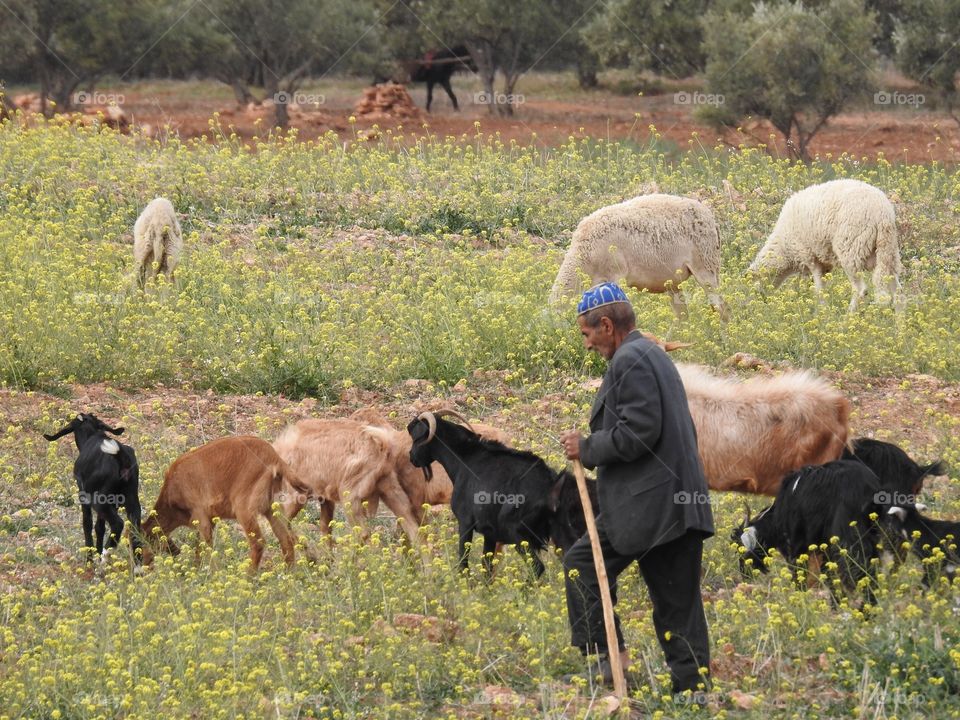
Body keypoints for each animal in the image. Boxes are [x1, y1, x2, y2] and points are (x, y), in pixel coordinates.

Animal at [44, 410, 142, 564]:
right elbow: (99, 527)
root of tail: (122, 460)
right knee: (135, 525)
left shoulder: (82, 493)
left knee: (118, 523)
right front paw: (96, 552)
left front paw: (90, 558)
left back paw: (105, 556)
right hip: (130, 495)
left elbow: (87, 524)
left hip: (100, 500)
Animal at [142, 436, 308, 572]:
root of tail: (274, 457)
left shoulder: (201, 516)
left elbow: (207, 548)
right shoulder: (209, 519)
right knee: (286, 539)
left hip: (244, 510)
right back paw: (289, 575)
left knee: (258, 543)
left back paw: (248, 577)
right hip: (273, 508)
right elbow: (199, 548)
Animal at [404, 414, 588, 576]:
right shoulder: (490, 533)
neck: (464, 459)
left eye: (417, 438)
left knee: (537, 567)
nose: (412, 457)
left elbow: (463, 561)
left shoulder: (465, 522)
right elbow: (487, 567)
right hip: (559, 530)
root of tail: (551, 486)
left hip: (516, 531)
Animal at [548, 197, 728, 320]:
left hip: (706, 265)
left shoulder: (613, 275)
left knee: (721, 307)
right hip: (673, 280)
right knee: (683, 315)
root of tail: (712, 219)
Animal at [752, 179, 900, 310]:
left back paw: (848, 316)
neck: (784, 250)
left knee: (861, 290)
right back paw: (898, 321)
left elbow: (818, 290)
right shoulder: (823, 264)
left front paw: (822, 312)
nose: (762, 303)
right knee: (898, 291)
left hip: (851, 249)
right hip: (889, 251)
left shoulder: (809, 256)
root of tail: (882, 214)